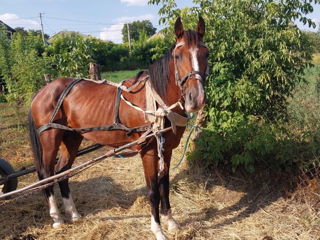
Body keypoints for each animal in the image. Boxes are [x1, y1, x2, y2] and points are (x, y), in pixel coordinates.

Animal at [27, 17, 208, 240]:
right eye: (177, 55)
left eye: (206, 53)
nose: (196, 99)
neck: (156, 102)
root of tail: (42, 91)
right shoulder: (148, 152)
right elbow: (153, 190)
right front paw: (157, 230)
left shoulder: (166, 150)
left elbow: (164, 184)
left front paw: (171, 222)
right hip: (50, 139)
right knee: (46, 174)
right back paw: (57, 218)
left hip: (72, 138)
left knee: (62, 172)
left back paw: (74, 214)